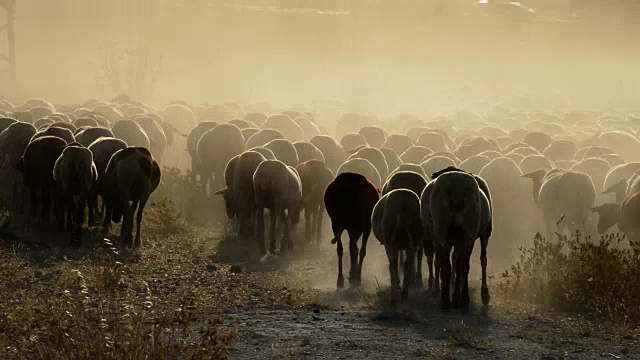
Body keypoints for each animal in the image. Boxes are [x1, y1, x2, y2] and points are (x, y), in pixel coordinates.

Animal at [422, 167, 492, 314]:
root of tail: (456, 187)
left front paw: (454, 297)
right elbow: (461, 264)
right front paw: (457, 298)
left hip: (444, 231)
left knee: (449, 265)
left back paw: (447, 301)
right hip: (468, 231)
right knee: (463, 265)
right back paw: (462, 300)